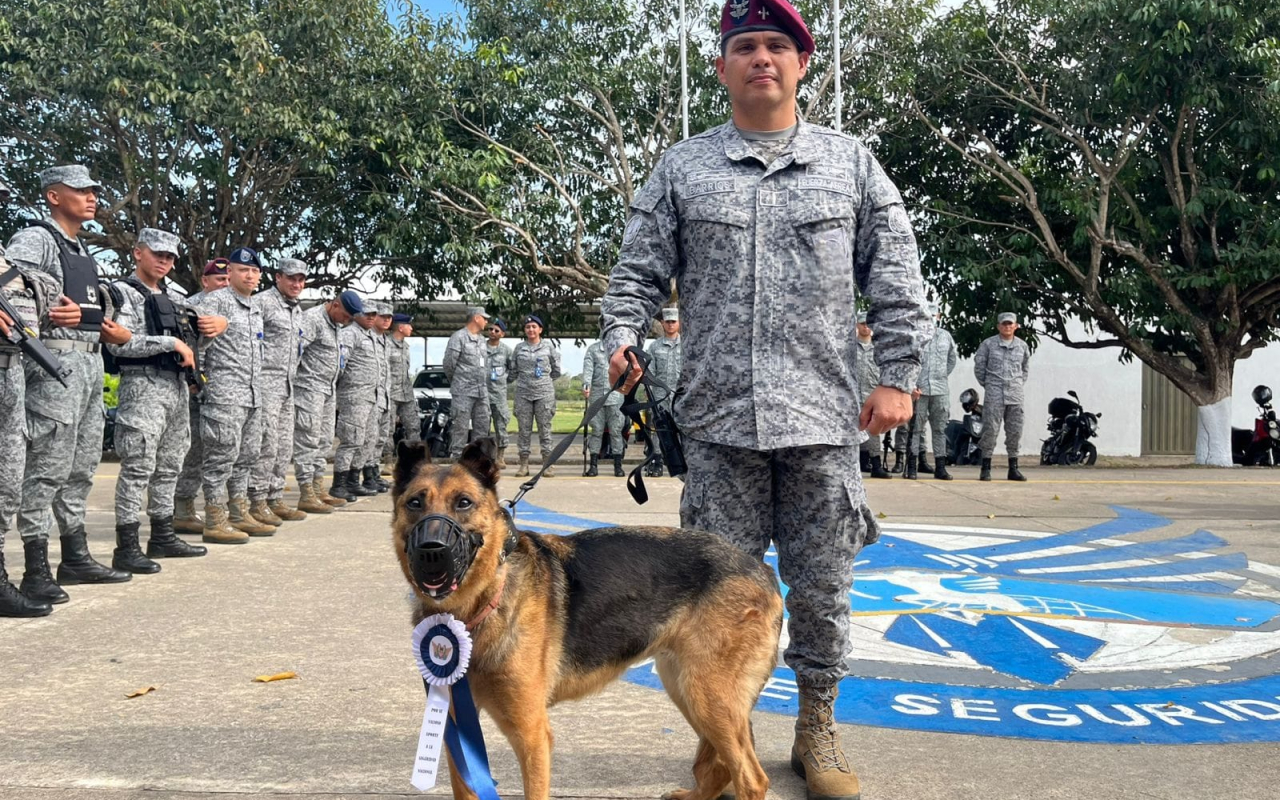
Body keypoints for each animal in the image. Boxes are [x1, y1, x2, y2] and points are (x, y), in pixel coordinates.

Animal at [394, 440, 783, 793]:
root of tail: (763, 570)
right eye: (415, 503)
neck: (479, 605)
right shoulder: (456, 728)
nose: (432, 551)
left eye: (464, 503)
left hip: (708, 697)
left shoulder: (532, 735)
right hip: (685, 687)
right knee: (720, 768)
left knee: (751, 778)